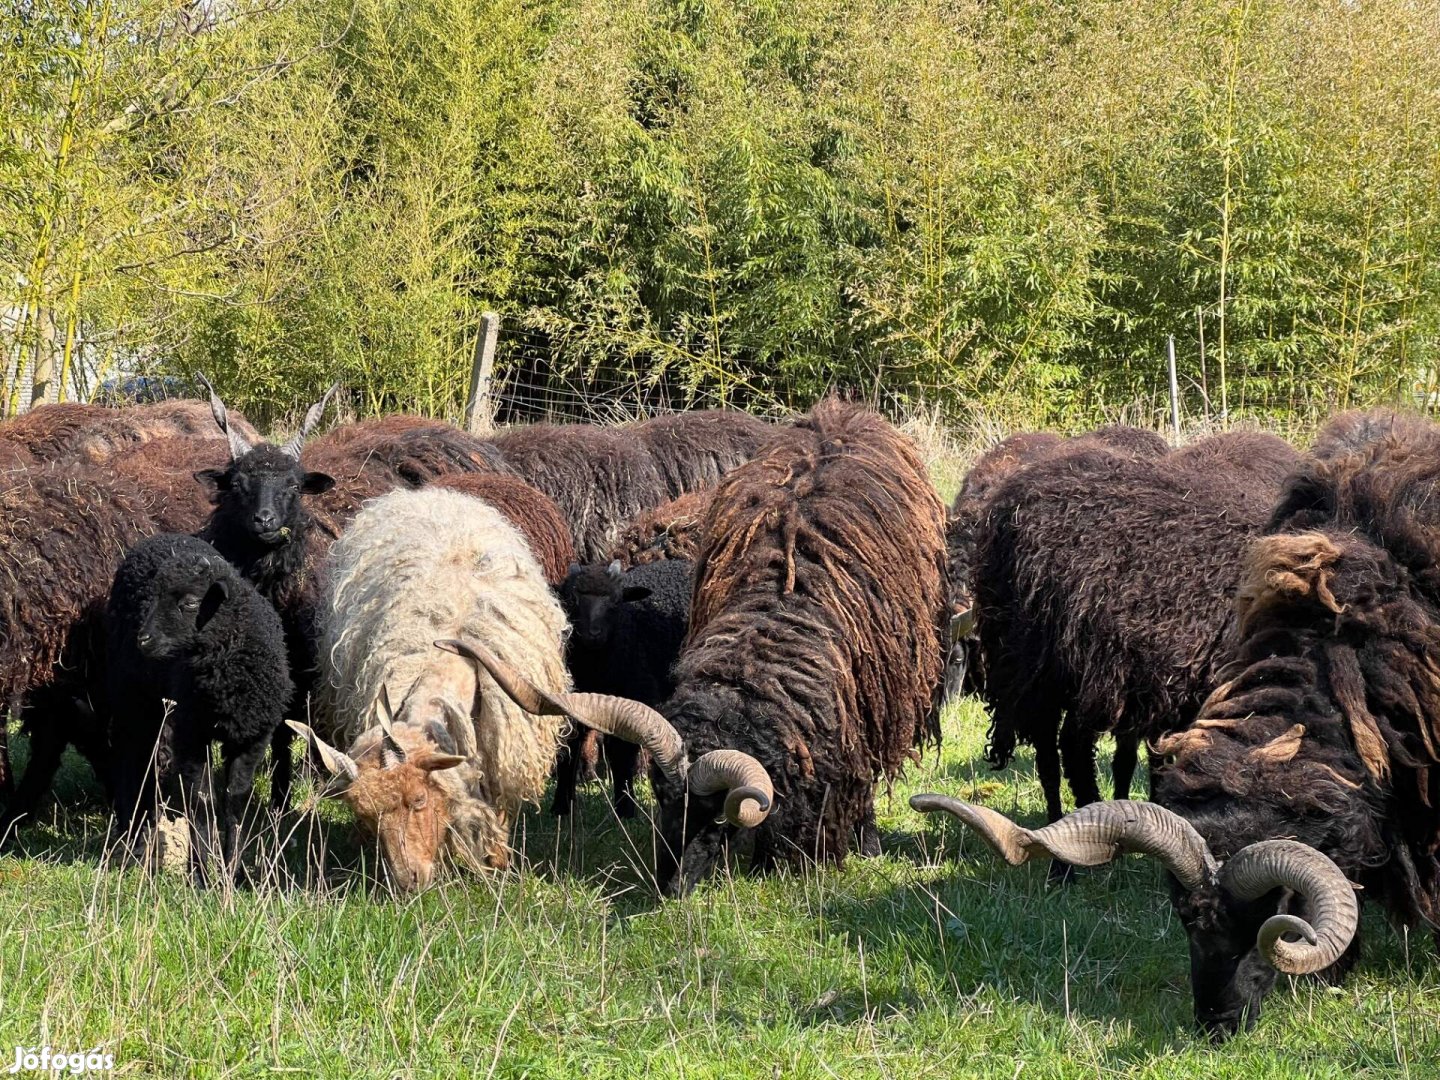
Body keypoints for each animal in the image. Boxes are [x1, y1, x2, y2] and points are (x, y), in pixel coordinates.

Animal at [105, 533, 292, 870]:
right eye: (154, 598)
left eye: (190, 602)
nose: (144, 640)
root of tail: (159, 538)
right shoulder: (192, 733)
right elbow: (201, 799)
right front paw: (202, 868)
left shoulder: (252, 737)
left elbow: (235, 798)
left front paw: (233, 868)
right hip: (130, 693)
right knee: (130, 756)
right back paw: (131, 837)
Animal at [287, 487, 570, 891]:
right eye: (369, 815)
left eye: (418, 800)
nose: (410, 883)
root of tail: (430, 493)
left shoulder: (505, 751)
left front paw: (497, 863)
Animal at [553, 558, 693, 817]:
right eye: (572, 600)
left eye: (615, 603)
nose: (593, 634)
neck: (595, 668)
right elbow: (569, 748)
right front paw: (561, 807)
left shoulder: (632, 696)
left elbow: (621, 754)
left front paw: (625, 808)